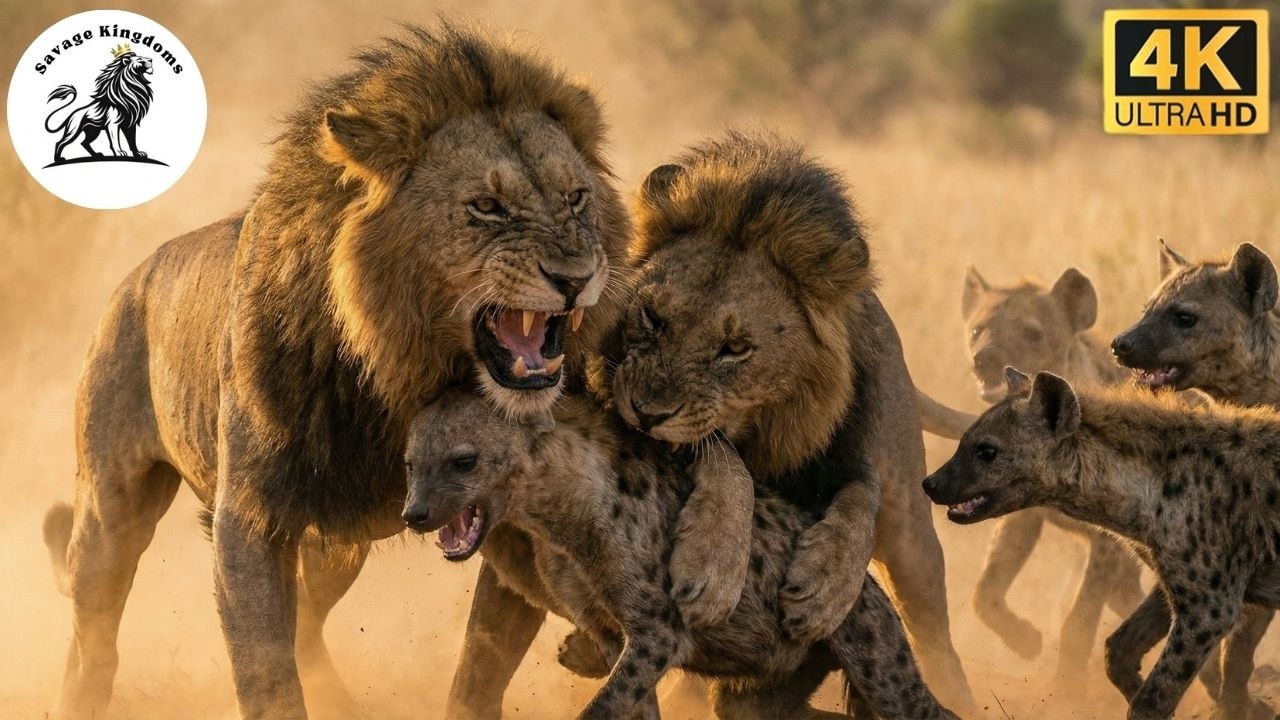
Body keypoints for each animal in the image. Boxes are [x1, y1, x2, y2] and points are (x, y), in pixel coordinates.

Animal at [41, 23, 628, 720]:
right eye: (486, 206)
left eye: (576, 198)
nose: (576, 278)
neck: (405, 372)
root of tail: (132, 277)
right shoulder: (250, 519)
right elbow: (267, 674)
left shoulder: (508, 515)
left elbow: (482, 667)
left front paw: (586, 649)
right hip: (111, 504)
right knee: (92, 634)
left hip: (334, 546)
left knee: (309, 626)